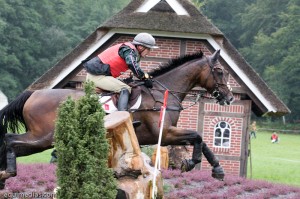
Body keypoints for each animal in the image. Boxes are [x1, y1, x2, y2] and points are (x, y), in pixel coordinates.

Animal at [0, 49, 234, 188]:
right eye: (220, 71)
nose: (230, 97)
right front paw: (190, 163)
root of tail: (33, 94)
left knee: (11, 143)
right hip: (45, 137)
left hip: (41, 140)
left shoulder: (165, 135)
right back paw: (8, 172)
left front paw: (217, 169)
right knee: (9, 139)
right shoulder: (165, 134)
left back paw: (3, 175)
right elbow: (198, 137)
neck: (163, 92)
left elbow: (201, 140)